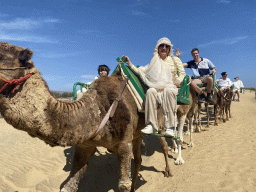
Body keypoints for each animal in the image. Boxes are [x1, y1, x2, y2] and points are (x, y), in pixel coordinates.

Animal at [0, 41, 196, 190]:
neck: (97, 110)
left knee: (163, 144)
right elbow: (69, 185)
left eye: (1, 55)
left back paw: (169, 170)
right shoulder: (85, 145)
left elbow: (123, 185)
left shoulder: (123, 143)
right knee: (139, 159)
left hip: (159, 120)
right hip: (137, 132)